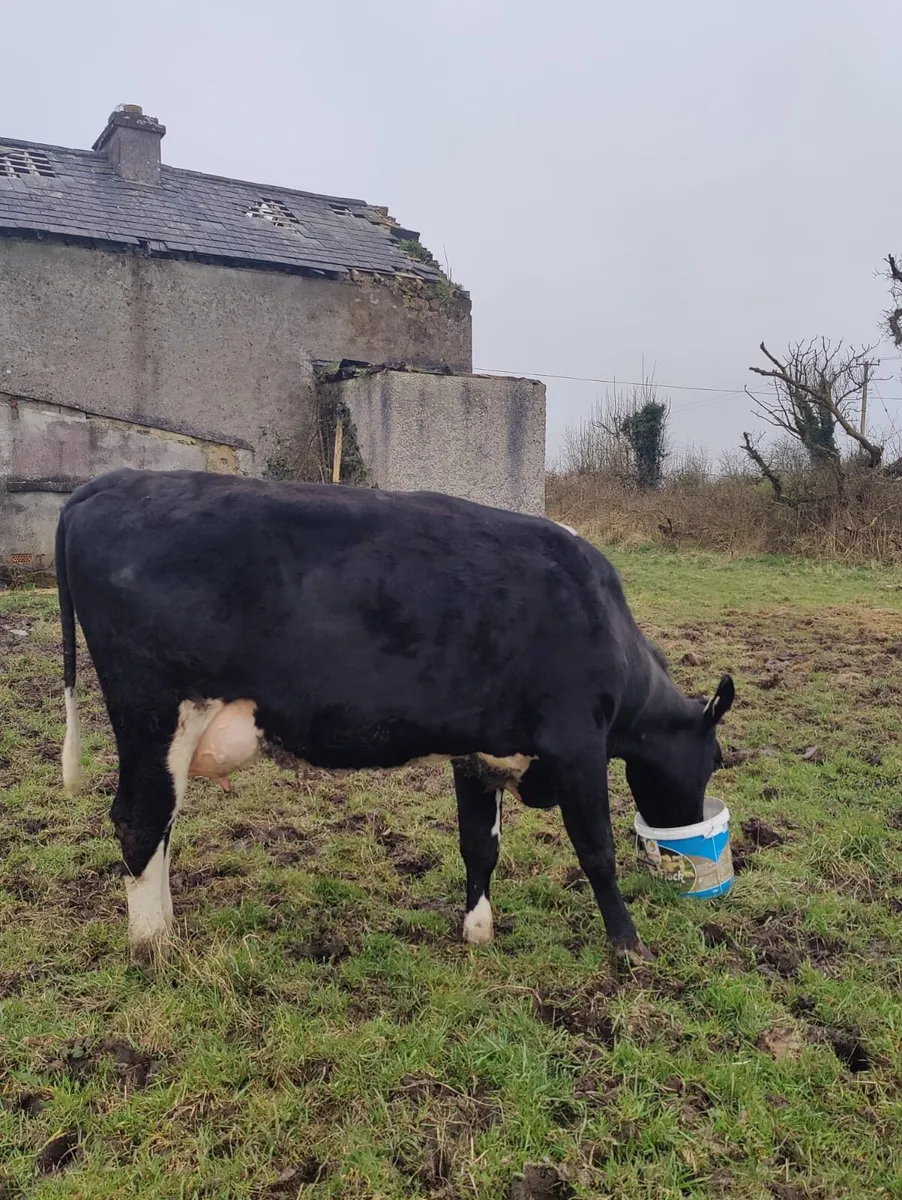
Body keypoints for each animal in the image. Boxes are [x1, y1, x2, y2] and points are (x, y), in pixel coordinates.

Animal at [55, 468, 734, 965]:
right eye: (715, 758)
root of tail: (114, 480)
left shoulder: (480, 748)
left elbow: (479, 845)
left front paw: (478, 932)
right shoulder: (577, 743)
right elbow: (597, 849)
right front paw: (629, 946)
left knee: (162, 822)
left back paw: (167, 926)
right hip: (153, 712)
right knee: (139, 820)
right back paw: (153, 946)